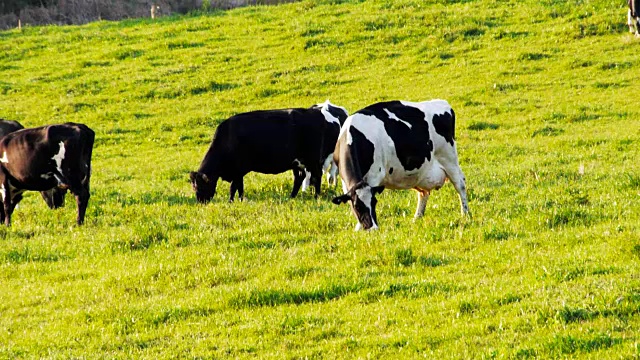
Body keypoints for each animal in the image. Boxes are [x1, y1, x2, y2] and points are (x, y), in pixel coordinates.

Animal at [190, 102, 348, 202]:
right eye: (193, 186)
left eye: (201, 185)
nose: (200, 201)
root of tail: (316, 112)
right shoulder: (238, 171)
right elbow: (239, 187)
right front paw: (238, 200)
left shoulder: (238, 169)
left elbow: (234, 187)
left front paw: (232, 201)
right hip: (298, 162)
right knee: (300, 178)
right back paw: (292, 197)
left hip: (313, 160)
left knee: (317, 177)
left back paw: (316, 196)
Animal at [330, 100, 470, 232]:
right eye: (357, 206)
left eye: (374, 202)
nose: (373, 228)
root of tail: (442, 103)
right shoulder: (345, 183)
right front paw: (358, 228)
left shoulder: (374, 176)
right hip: (422, 172)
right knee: (423, 193)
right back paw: (417, 217)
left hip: (449, 158)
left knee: (460, 184)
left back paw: (465, 214)